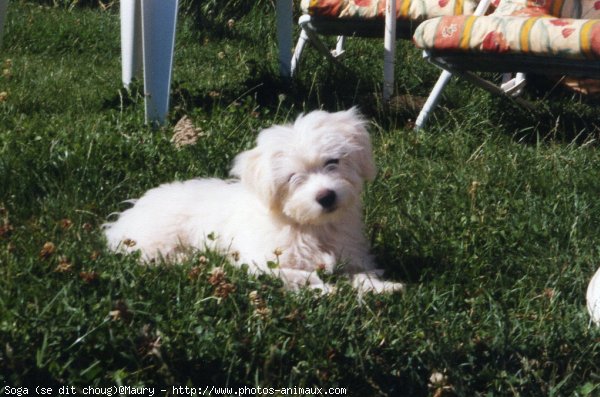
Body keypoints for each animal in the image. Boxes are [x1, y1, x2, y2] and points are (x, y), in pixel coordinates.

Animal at [104, 106, 404, 292]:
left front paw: (382, 287)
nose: (326, 196)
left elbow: (360, 273)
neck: (309, 227)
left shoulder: (351, 255)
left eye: (333, 162)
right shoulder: (259, 262)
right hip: (156, 240)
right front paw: (327, 289)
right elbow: (301, 275)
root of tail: (120, 222)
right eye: (293, 177)